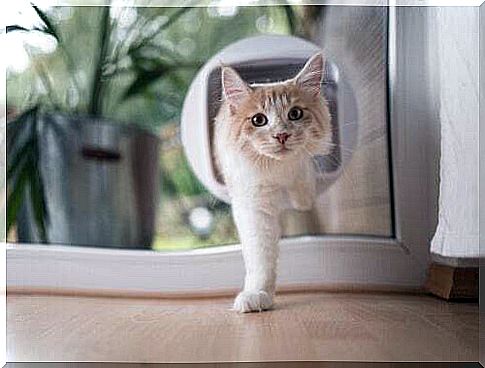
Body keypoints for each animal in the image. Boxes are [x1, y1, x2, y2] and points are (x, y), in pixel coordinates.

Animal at [215, 53, 332, 312]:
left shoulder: (303, 175)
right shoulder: (254, 208)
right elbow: (261, 258)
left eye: (295, 114)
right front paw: (257, 294)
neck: (279, 171)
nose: (281, 135)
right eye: (258, 120)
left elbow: (304, 187)